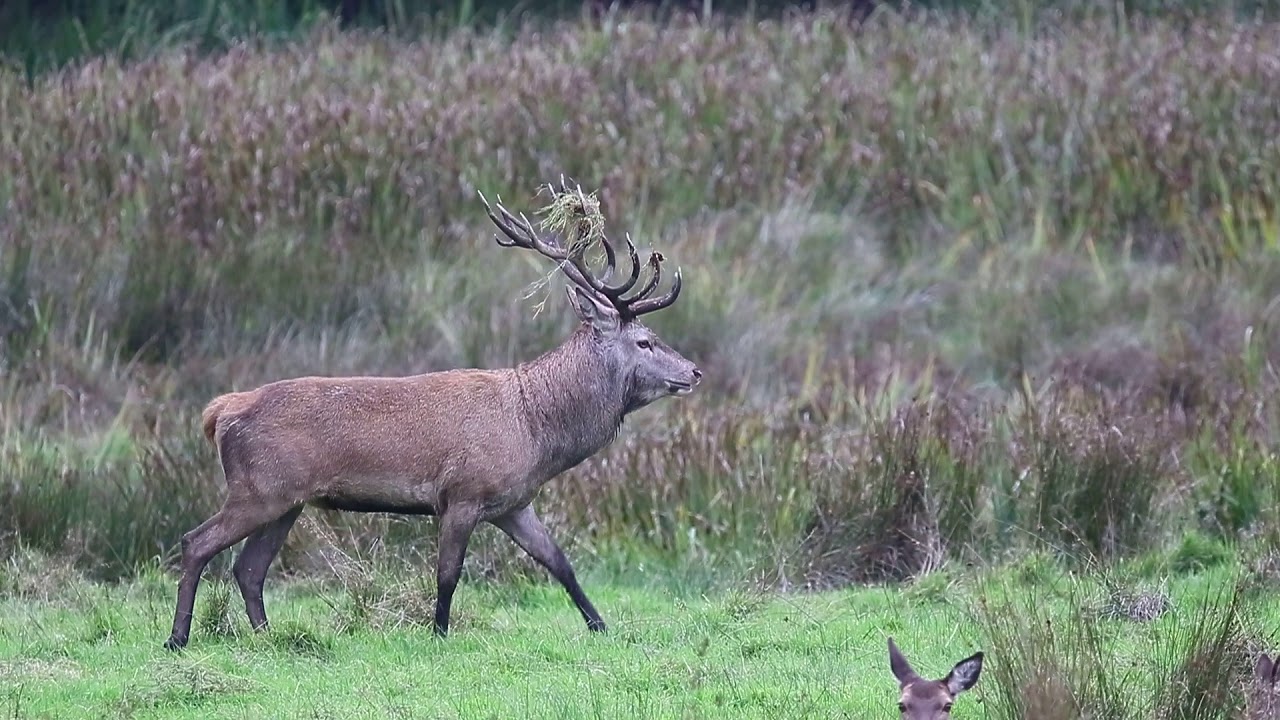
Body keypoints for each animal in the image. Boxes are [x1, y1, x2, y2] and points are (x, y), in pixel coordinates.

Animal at [163, 181, 703, 650]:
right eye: (645, 341)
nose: (694, 372)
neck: (537, 431)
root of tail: (219, 411)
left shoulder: (513, 503)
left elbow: (559, 563)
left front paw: (600, 625)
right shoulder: (461, 493)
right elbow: (448, 573)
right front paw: (439, 633)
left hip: (286, 500)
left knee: (249, 568)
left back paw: (266, 637)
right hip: (257, 489)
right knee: (196, 542)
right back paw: (178, 637)